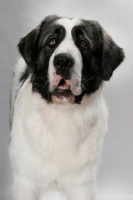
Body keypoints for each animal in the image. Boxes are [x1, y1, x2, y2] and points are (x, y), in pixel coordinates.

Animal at [9, 15, 124, 200]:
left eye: (84, 44)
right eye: (52, 41)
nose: (63, 61)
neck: (62, 114)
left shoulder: (82, 186)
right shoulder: (25, 183)